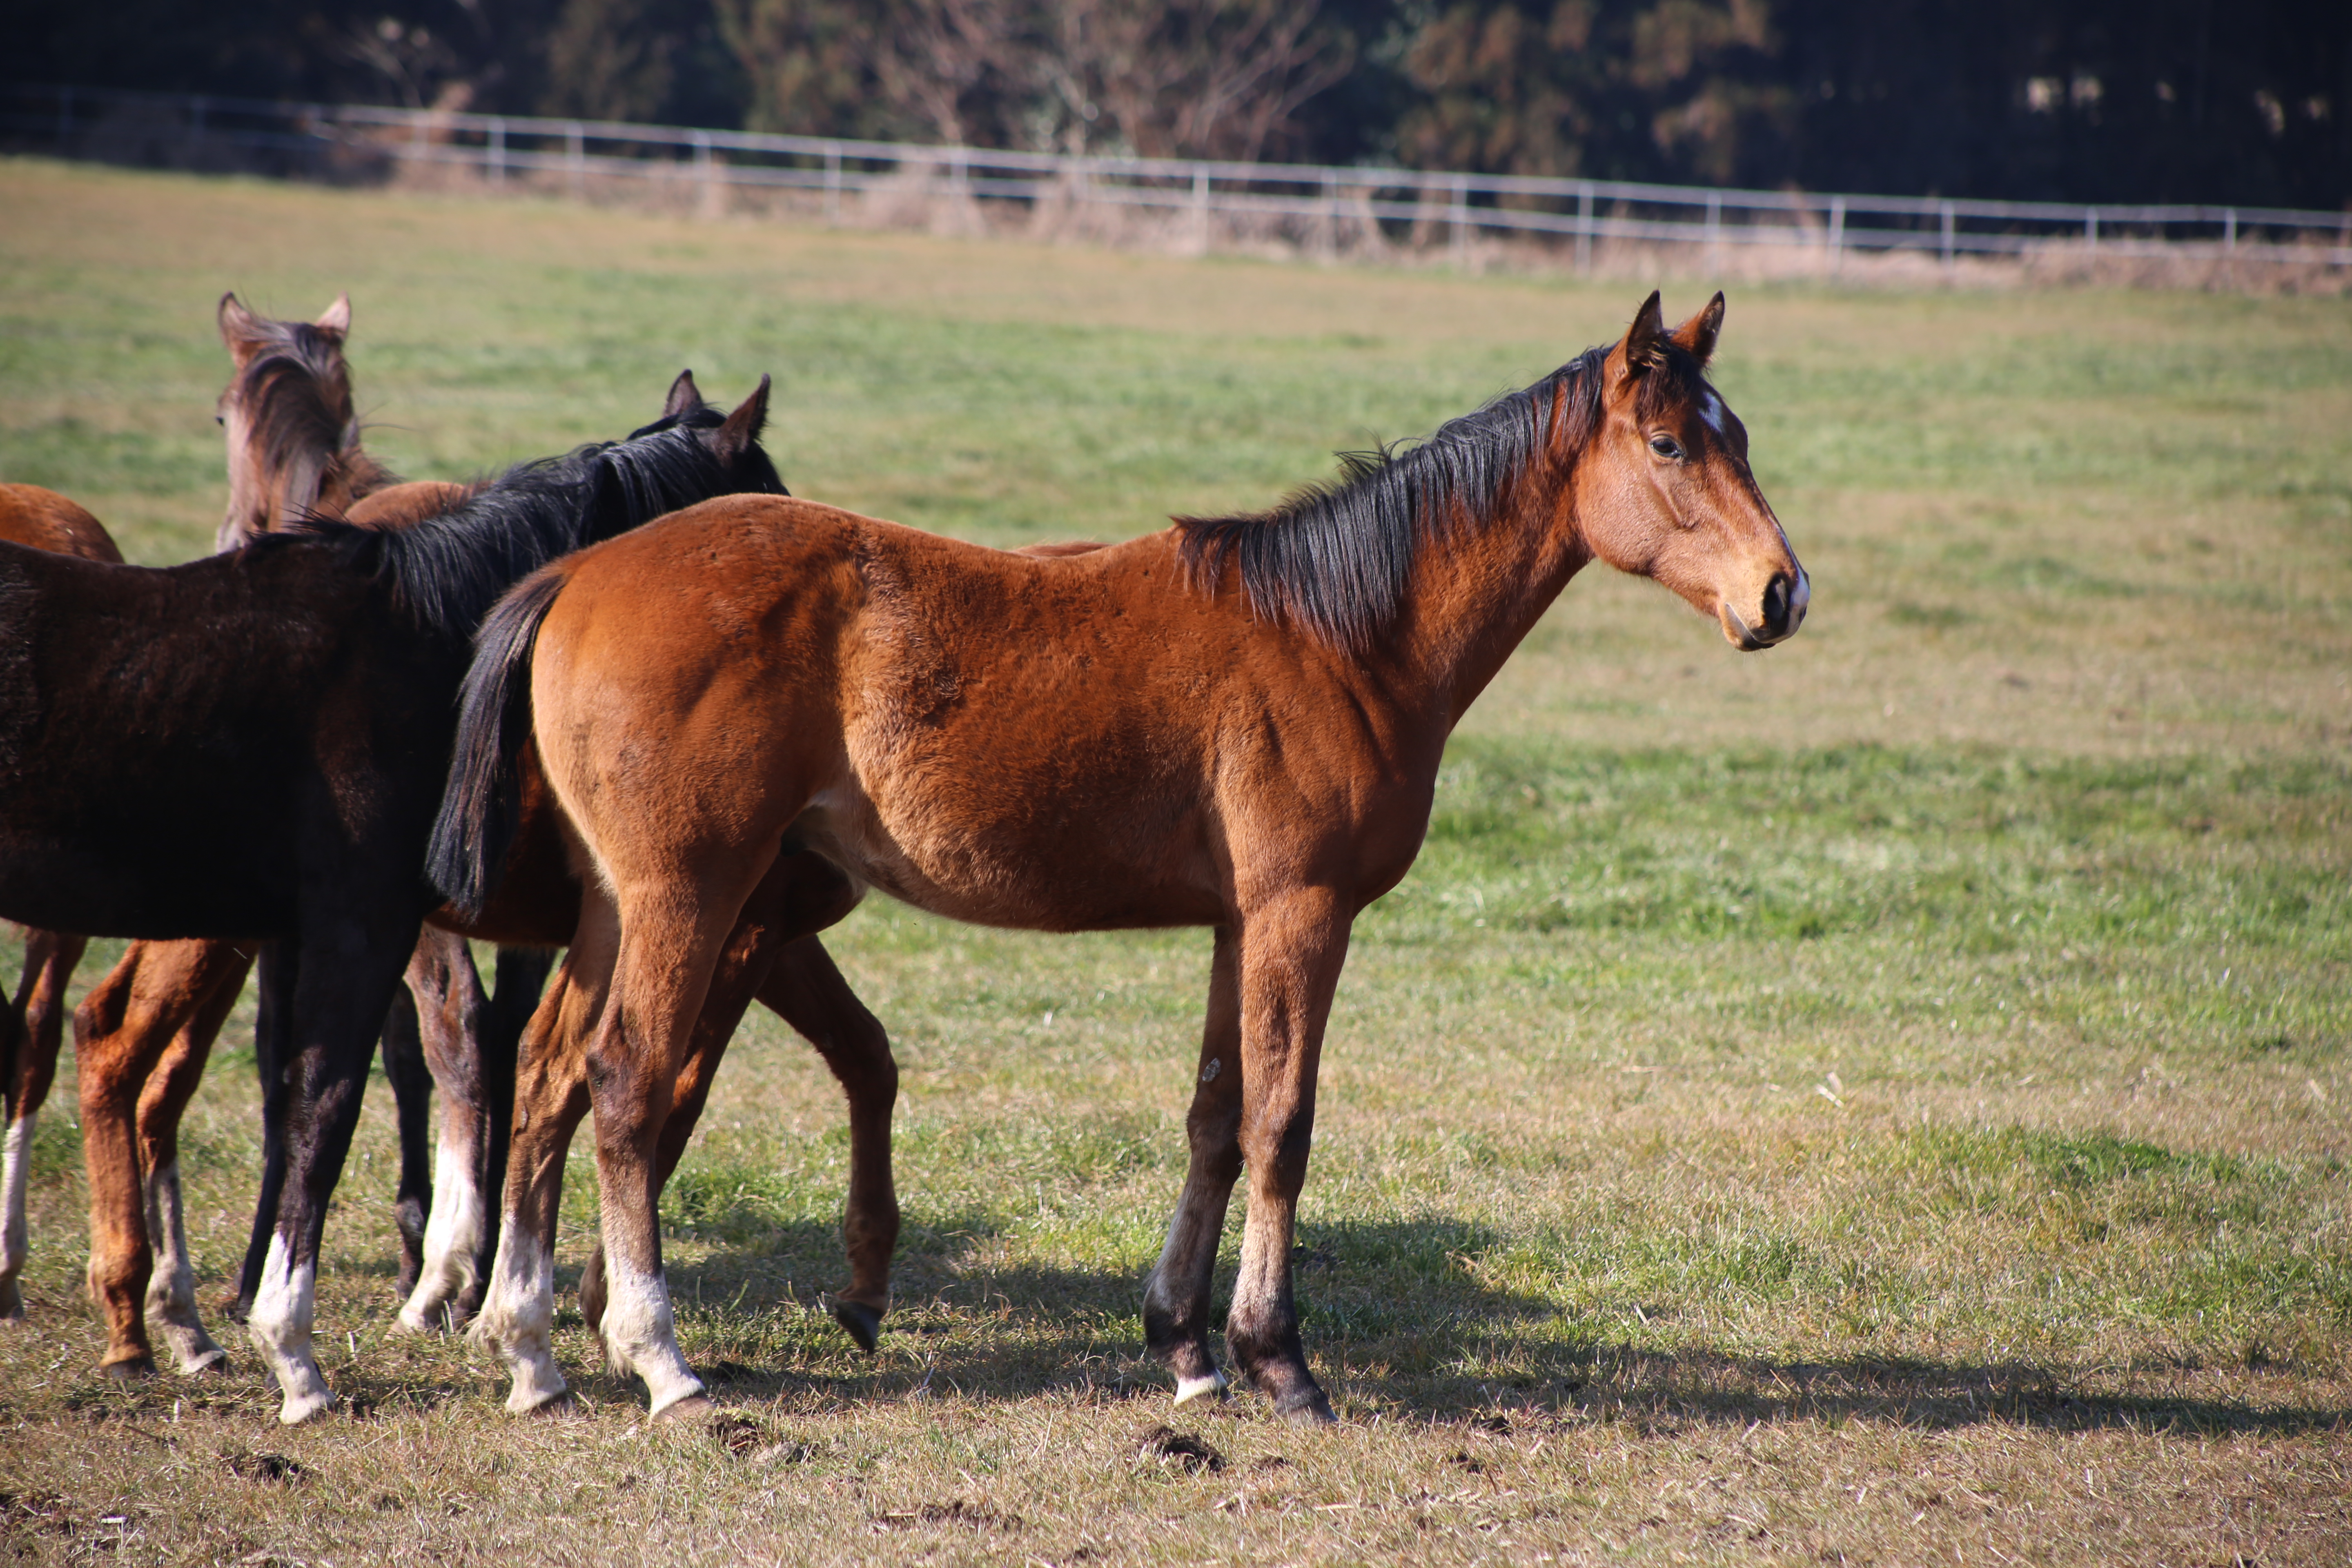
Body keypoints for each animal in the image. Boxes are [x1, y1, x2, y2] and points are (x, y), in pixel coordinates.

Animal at [432, 291, 1806, 1420]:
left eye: (1737, 436)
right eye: (1673, 446)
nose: (1782, 593)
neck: (1338, 638)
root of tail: (578, 571)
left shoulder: (1240, 922)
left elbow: (1215, 1116)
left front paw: (1187, 1346)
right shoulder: (1303, 912)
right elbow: (1284, 1124)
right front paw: (1278, 1358)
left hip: (618, 906)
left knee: (546, 1072)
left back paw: (531, 1348)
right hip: (689, 895)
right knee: (623, 1081)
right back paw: (656, 1356)